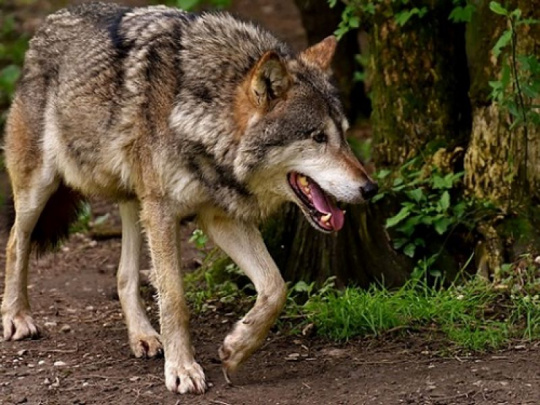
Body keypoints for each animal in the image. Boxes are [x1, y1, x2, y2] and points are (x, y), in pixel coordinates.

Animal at [2, 2, 378, 394]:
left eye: (345, 135)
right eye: (318, 137)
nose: (370, 188)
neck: (201, 116)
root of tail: (51, 20)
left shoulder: (219, 217)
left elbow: (276, 287)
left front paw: (236, 349)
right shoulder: (164, 212)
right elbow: (175, 299)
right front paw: (182, 368)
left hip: (135, 202)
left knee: (124, 275)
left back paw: (143, 336)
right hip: (41, 188)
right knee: (15, 241)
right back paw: (16, 317)